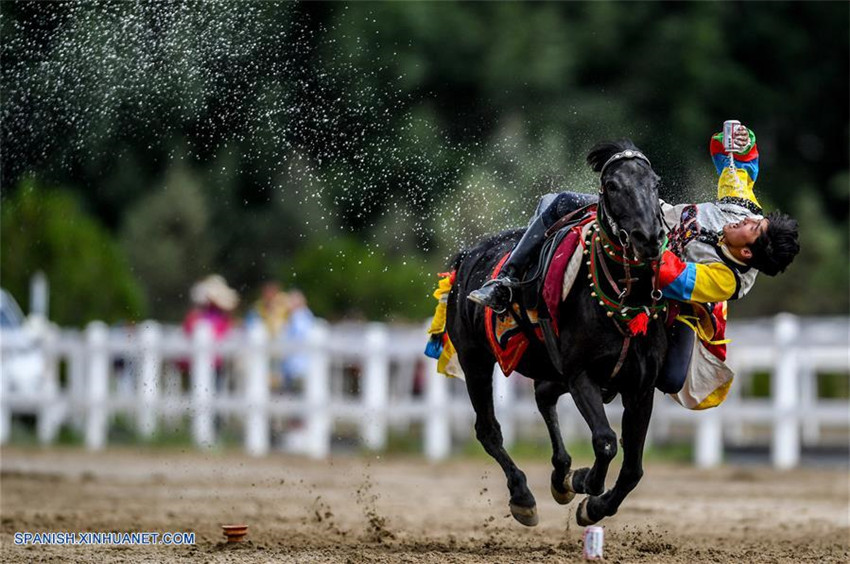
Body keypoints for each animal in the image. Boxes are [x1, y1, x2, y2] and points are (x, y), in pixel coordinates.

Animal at [444, 139, 668, 528]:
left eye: (654, 184)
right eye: (612, 186)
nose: (648, 238)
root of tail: (468, 256)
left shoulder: (641, 389)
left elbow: (633, 470)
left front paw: (592, 504)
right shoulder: (581, 375)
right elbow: (606, 441)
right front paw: (586, 481)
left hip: (546, 367)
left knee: (543, 397)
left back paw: (560, 475)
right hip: (475, 359)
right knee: (488, 430)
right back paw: (522, 496)